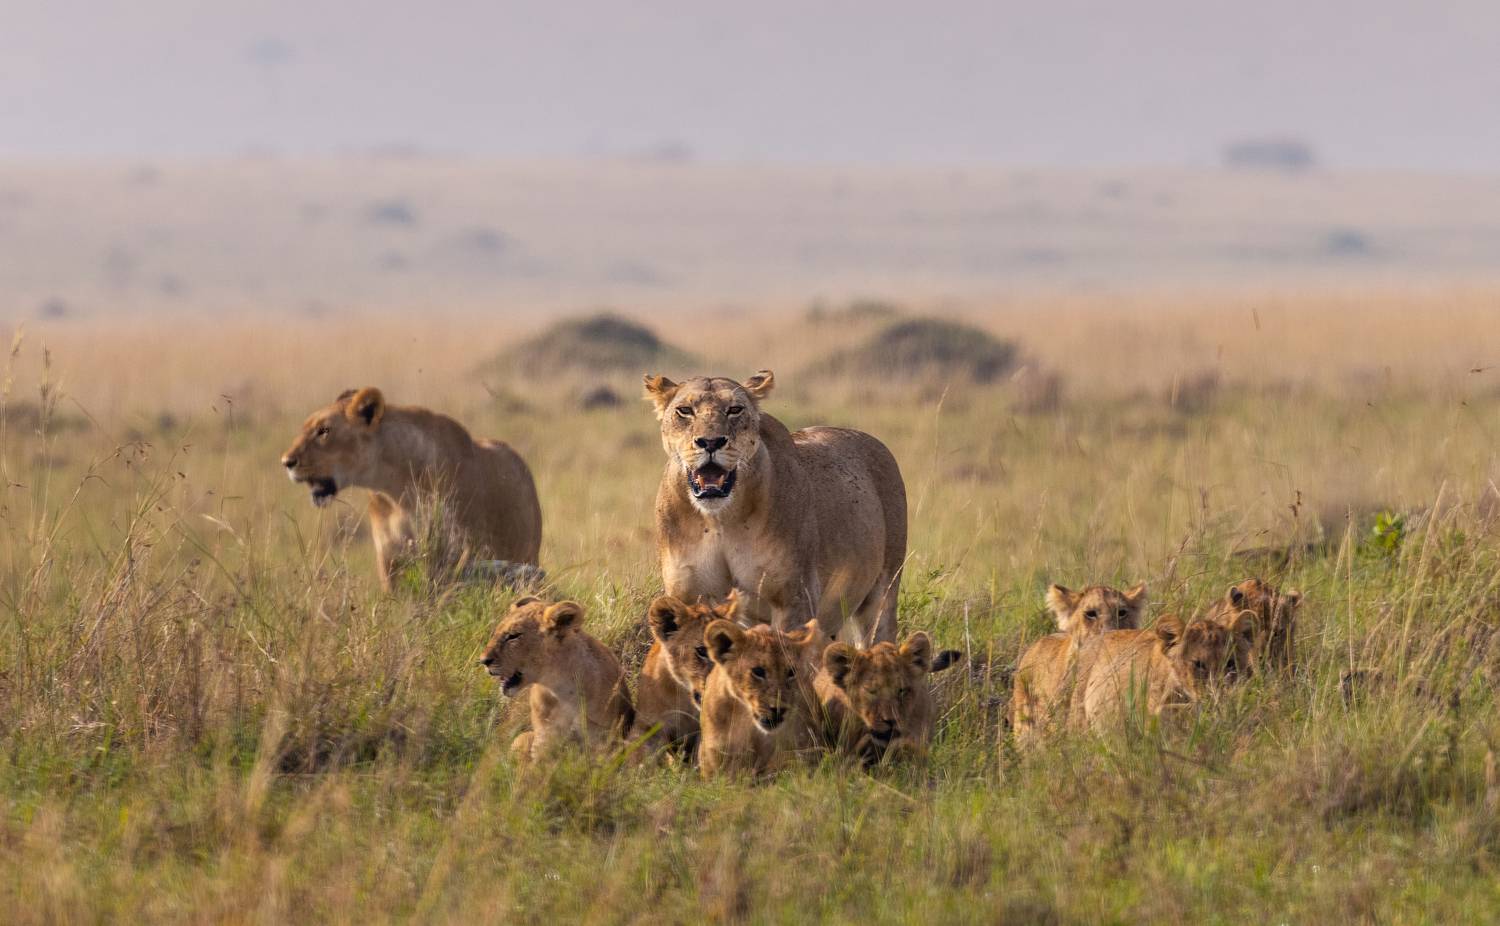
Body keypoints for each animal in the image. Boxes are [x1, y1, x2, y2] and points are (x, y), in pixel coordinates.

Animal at [478, 597, 634, 763]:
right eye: (496, 633)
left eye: (513, 636)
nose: (483, 661)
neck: (558, 685)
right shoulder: (544, 738)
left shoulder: (602, 740)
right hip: (523, 737)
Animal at [643, 369, 907, 646]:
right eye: (684, 410)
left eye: (735, 409)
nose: (711, 442)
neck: (719, 520)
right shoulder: (687, 599)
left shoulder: (794, 600)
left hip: (883, 592)